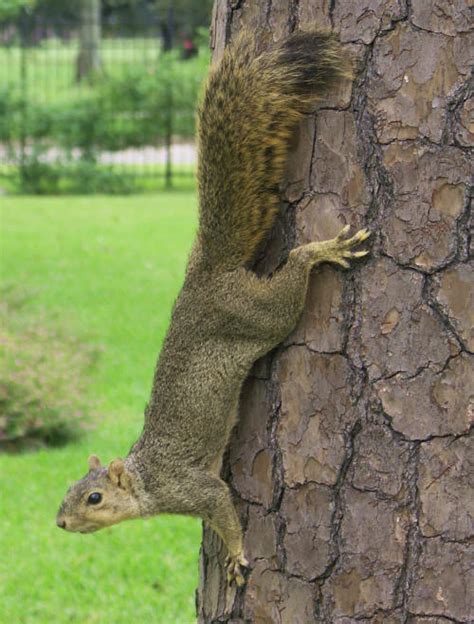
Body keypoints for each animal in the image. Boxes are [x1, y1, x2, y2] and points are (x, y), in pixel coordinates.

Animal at [56, 28, 370, 584]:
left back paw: (319, 251)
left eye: (94, 498)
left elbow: (223, 509)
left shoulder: (194, 488)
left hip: (261, 312)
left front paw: (238, 553)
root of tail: (205, 273)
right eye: (69, 491)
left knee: (292, 275)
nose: (61, 523)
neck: (147, 480)